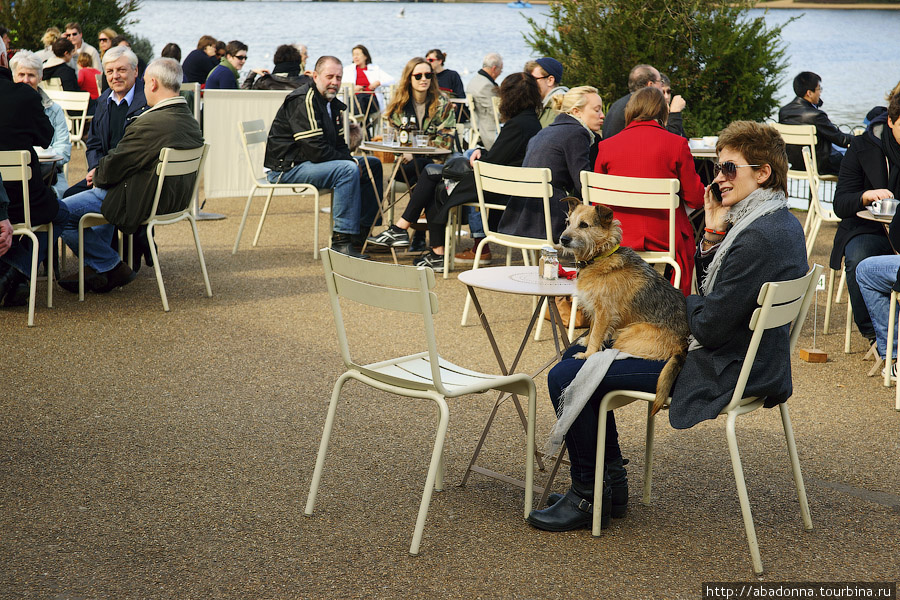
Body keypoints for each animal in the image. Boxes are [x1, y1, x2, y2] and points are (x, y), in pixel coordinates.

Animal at [556, 199, 688, 414]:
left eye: (584, 225)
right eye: (568, 222)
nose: (563, 239)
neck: (600, 256)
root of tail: (683, 343)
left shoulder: (604, 312)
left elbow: (597, 335)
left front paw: (588, 355)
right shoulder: (596, 310)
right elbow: (593, 329)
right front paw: (586, 342)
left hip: (629, 333)